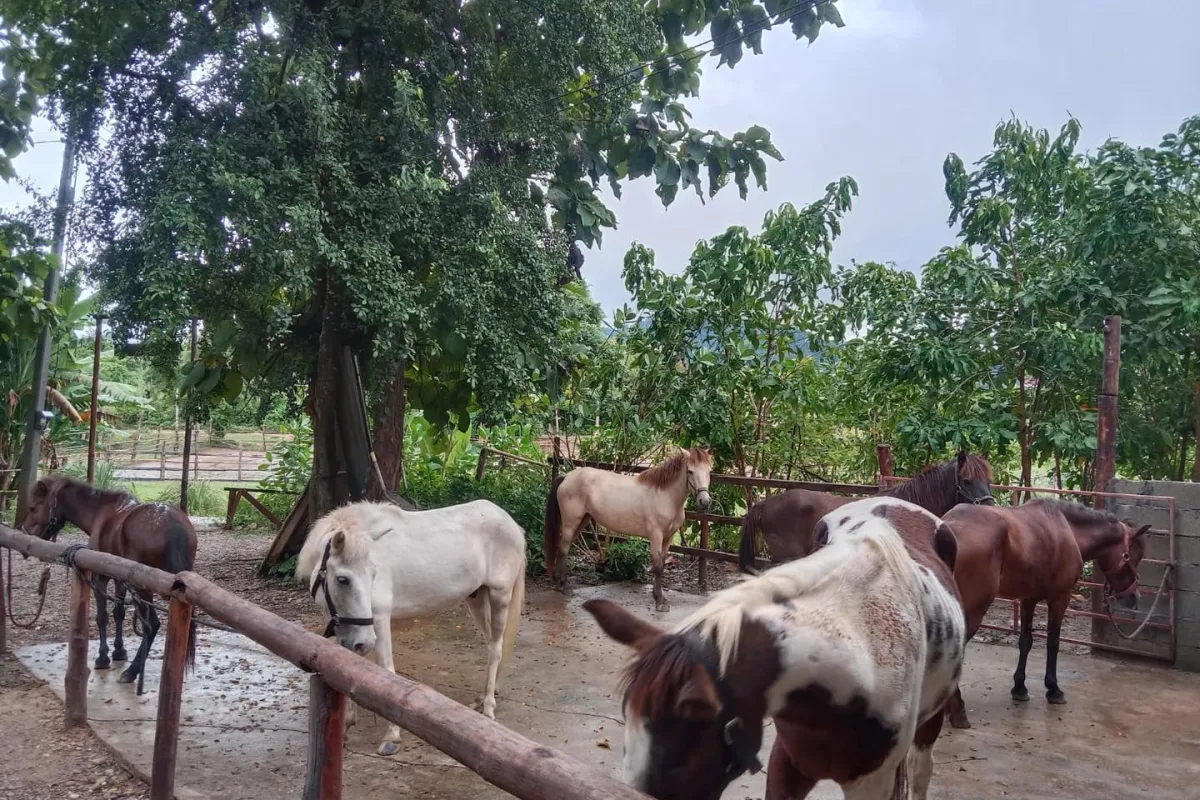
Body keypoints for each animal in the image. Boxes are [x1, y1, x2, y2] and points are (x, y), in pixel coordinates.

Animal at [20, 475, 197, 690]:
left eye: (33, 508)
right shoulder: (120, 578)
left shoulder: (100, 577)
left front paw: (103, 658)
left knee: (152, 625)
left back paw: (131, 672)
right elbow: (118, 613)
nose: (24, 532)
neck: (101, 514)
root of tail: (173, 525)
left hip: (143, 589)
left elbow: (102, 616)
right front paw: (119, 651)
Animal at [296, 499, 526, 756]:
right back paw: (486, 695)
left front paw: (392, 736)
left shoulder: (379, 619)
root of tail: (510, 522)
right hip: (476, 598)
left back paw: (488, 707)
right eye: (343, 579)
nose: (365, 642)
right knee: (492, 645)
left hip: (499, 596)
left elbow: (387, 671)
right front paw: (347, 725)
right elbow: (349, 666)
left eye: (373, 574)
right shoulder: (346, 627)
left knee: (496, 649)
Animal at [545, 447, 713, 613]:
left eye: (709, 471)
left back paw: (559, 583)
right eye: (690, 471)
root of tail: (566, 477)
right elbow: (658, 566)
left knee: (564, 548)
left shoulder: (668, 537)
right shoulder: (656, 536)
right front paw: (659, 601)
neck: (665, 496)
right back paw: (565, 587)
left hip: (582, 520)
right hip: (571, 523)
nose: (704, 501)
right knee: (563, 549)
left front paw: (659, 596)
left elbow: (663, 564)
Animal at [941, 498, 1150, 729]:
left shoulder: (1028, 599)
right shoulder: (1060, 598)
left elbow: (1025, 642)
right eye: (1134, 556)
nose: (1133, 597)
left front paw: (1020, 688)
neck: (1068, 529)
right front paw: (1053, 689)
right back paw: (957, 711)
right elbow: (1053, 642)